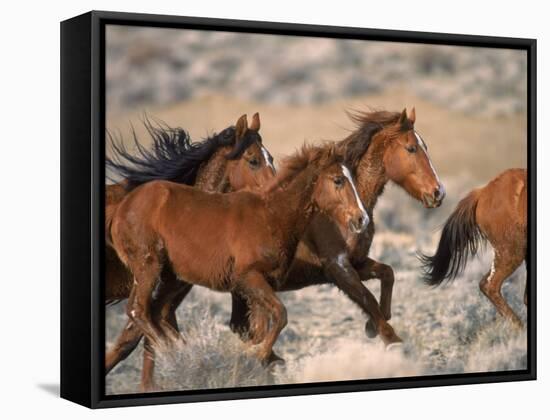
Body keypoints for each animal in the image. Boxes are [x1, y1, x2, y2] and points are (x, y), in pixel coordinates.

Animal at [103, 112, 276, 390]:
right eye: (253, 160)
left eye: (272, 158)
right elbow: (135, 336)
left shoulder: (173, 289)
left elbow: (147, 336)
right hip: (148, 269)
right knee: (137, 311)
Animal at [110, 144, 370, 368]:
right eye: (338, 180)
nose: (362, 219)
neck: (271, 216)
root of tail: (123, 208)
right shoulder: (248, 278)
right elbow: (280, 315)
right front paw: (257, 353)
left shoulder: (263, 285)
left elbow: (261, 326)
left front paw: (257, 355)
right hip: (149, 267)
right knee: (138, 310)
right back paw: (178, 353)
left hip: (171, 277)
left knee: (153, 313)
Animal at [231, 107, 446, 344]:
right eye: (411, 148)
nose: (438, 192)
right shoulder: (337, 267)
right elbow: (369, 301)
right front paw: (387, 337)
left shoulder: (356, 262)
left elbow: (387, 274)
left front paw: (372, 325)